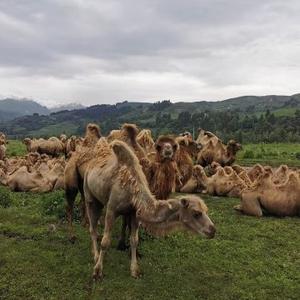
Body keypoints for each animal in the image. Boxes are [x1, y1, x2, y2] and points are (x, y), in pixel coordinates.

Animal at [83, 139, 216, 280]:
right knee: (92, 227)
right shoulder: (112, 210)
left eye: (206, 211)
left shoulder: (134, 213)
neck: (133, 190)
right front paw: (97, 271)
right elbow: (105, 241)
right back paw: (95, 255)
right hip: (89, 195)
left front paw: (135, 270)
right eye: (196, 213)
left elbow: (134, 240)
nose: (213, 230)